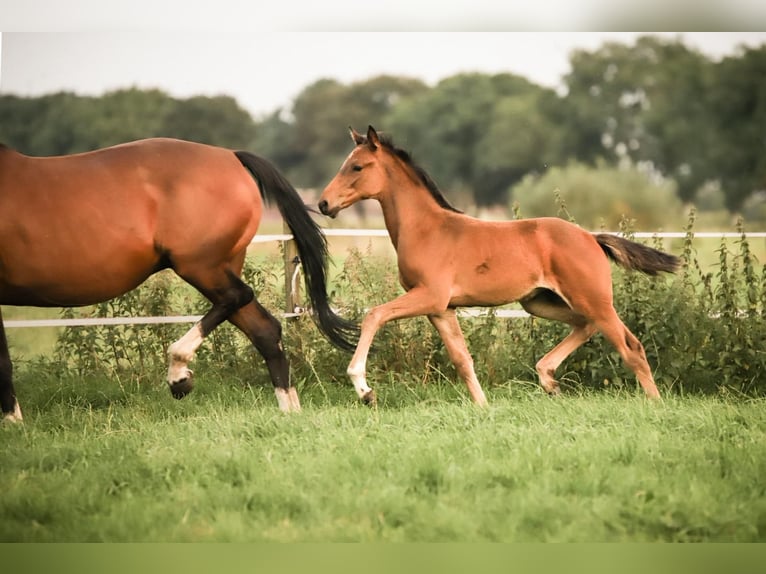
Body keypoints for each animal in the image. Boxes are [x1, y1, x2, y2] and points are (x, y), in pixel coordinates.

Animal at [0, 138, 358, 422]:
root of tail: (231, 156)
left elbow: (3, 361)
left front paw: (14, 425)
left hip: (200, 265)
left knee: (237, 298)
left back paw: (179, 374)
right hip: (220, 265)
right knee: (264, 328)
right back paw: (289, 410)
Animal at [318, 126, 680, 406]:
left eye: (357, 167)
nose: (323, 203)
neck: (427, 230)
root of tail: (590, 237)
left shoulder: (430, 296)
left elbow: (374, 315)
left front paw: (363, 388)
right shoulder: (442, 309)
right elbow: (462, 360)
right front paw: (483, 407)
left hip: (593, 299)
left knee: (631, 347)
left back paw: (655, 405)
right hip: (541, 302)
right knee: (586, 326)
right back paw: (548, 379)